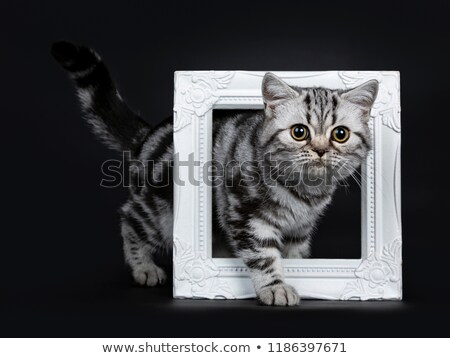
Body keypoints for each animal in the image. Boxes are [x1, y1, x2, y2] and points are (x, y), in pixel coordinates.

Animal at [51, 41, 376, 304]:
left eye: (340, 134)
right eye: (299, 132)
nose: (320, 150)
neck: (305, 192)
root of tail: (148, 134)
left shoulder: (301, 229)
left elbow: (294, 255)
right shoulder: (246, 216)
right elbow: (263, 257)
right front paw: (274, 287)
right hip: (161, 214)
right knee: (129, 220)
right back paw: (143, 267)